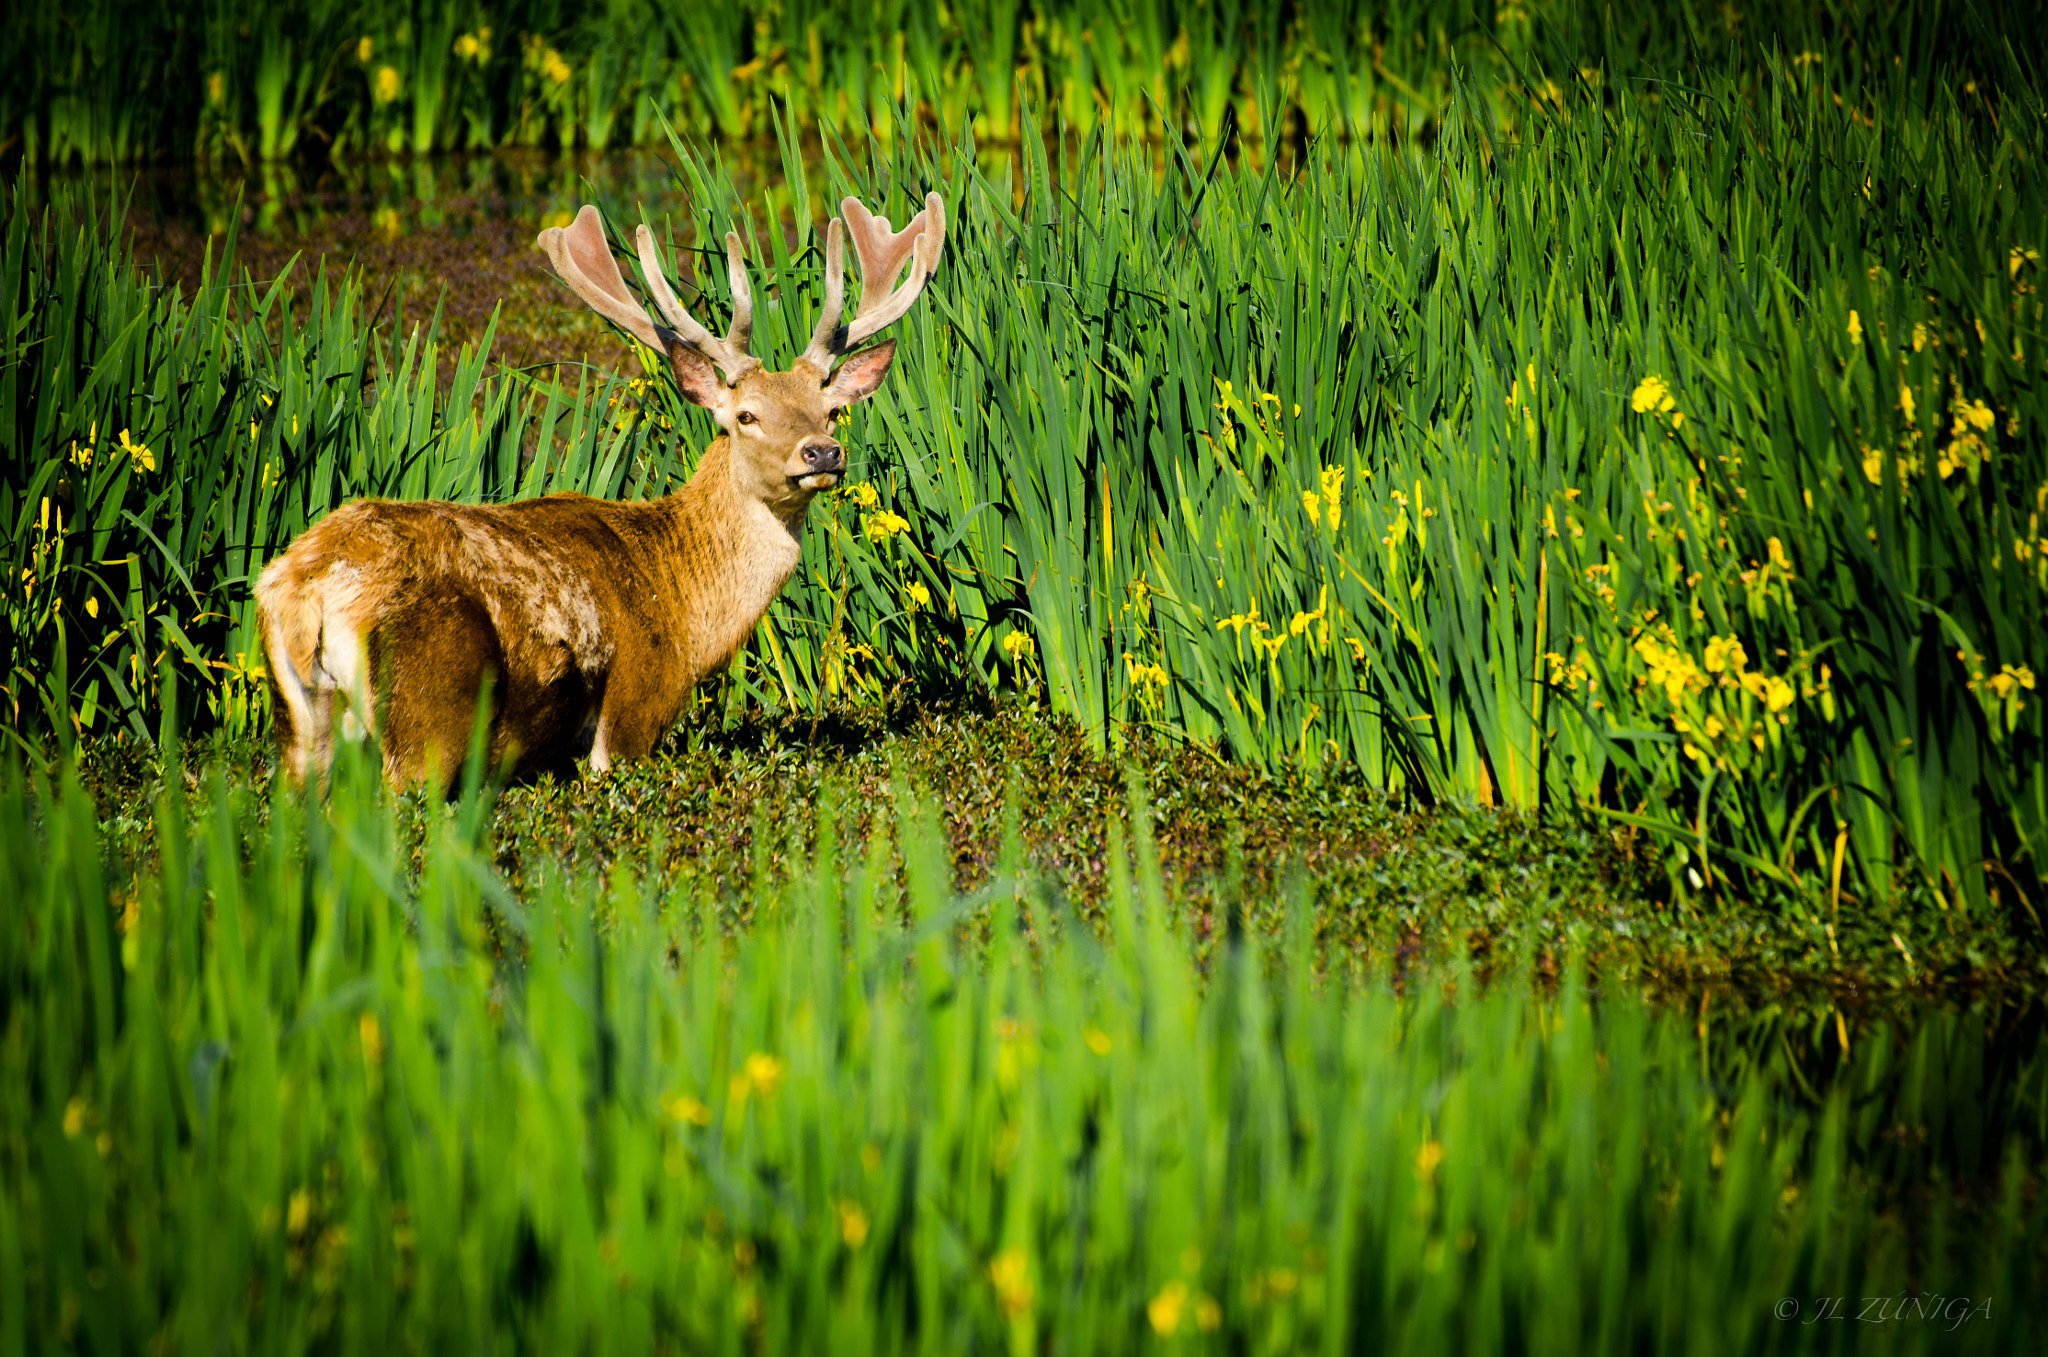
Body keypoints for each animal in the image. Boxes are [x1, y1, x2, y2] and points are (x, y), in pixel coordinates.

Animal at [258, 191, 950, 785]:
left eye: (831, 411)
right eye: (746, 415)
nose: (822, 453)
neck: (687, 612)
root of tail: (306, 586)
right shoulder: (635, 708)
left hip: (302, 730)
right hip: (429, 713)